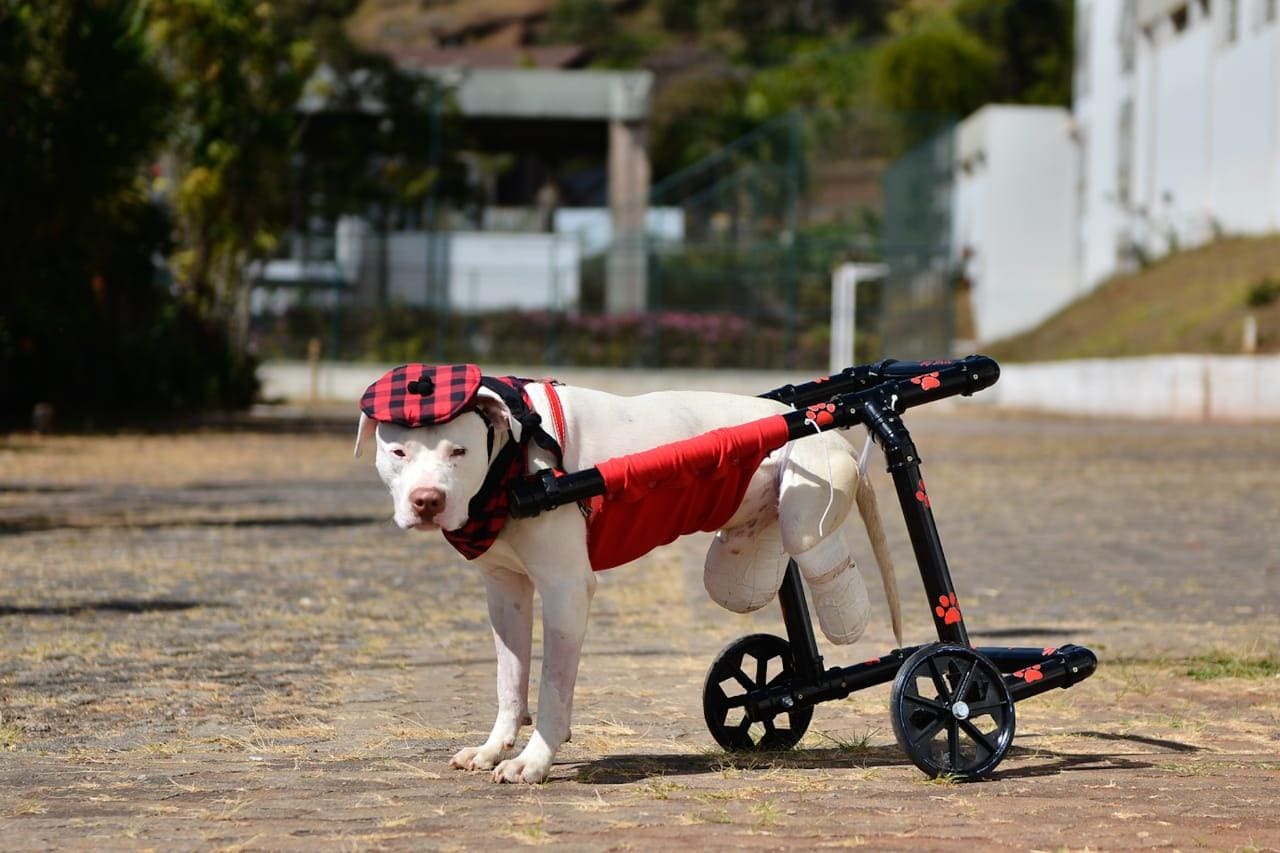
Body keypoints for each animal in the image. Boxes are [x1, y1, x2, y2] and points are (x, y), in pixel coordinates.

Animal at [355, 361, 901, 778]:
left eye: (459, 451)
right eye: (398, 452)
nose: (427, 500)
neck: (512, 457)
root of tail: (818, 421)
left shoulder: (566, 590)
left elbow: (553, 687)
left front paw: (534, 761)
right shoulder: (505, 591)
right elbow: (509, 680)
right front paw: (494, 748)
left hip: (810, 515)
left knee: (822, 562)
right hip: (754, 535)